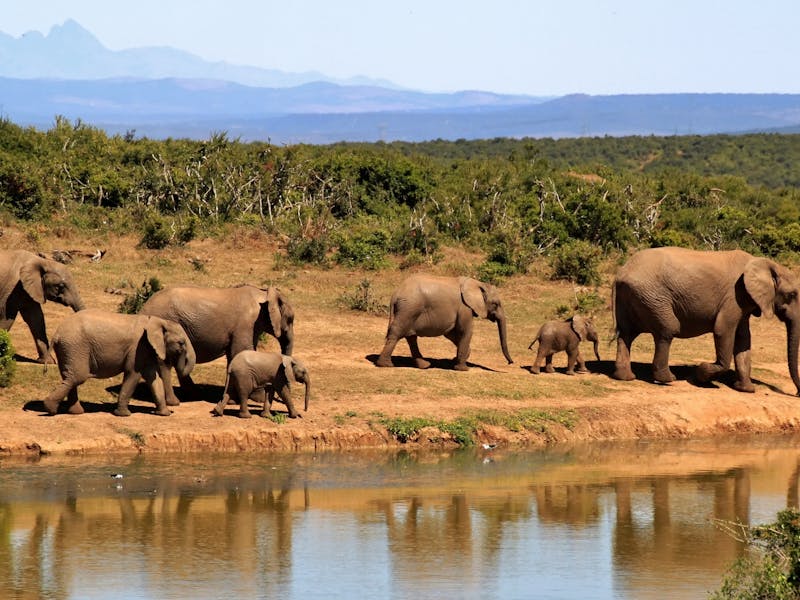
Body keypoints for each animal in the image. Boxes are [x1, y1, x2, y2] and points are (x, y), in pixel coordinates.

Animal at [39, 310, 196, 418]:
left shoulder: (146, 350)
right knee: (77, 377)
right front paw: (124, 415)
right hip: (75, 347)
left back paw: (75, 412)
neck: (157, 321)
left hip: (68, 349)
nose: (174, 409)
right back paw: (50, 409)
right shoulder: (138, 348)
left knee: (70, 377)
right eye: (181, 343)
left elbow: (153, 378)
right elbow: (133, 374)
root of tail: (56, 334)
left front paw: (164, 414)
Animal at [140, 284, 294, 406]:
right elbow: (242, 351)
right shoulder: (246, 324)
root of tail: (143, 308)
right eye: (290, 319)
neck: (263, 293)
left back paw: (194, 394)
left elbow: (234, 355)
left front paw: (233, 400)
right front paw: (258, 399)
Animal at [376, 276, 512, 370]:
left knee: (411, 337)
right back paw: (386, 365)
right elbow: (465, 331)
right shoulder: (464, 307)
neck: (477, 283)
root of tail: (395, 294)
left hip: (409, 311)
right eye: (496, 304)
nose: (511, 363)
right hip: (409, 309)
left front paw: (457, 358)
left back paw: (425, 365)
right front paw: (463, 368)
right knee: (397, 333)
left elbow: (451, 333)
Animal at [612, 244, 800, 394]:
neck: (766, 263)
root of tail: (621, 273)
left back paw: (625, 377)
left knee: (626, 334)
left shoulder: (744, 302)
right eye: (791, 295)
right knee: (667, 330)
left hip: (633, 297)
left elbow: (744, 339)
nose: (797, 393)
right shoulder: (734, 296)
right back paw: (668, 379)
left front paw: (746, 390)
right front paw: (700, 375)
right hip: (652, 297)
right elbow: (723, 330)